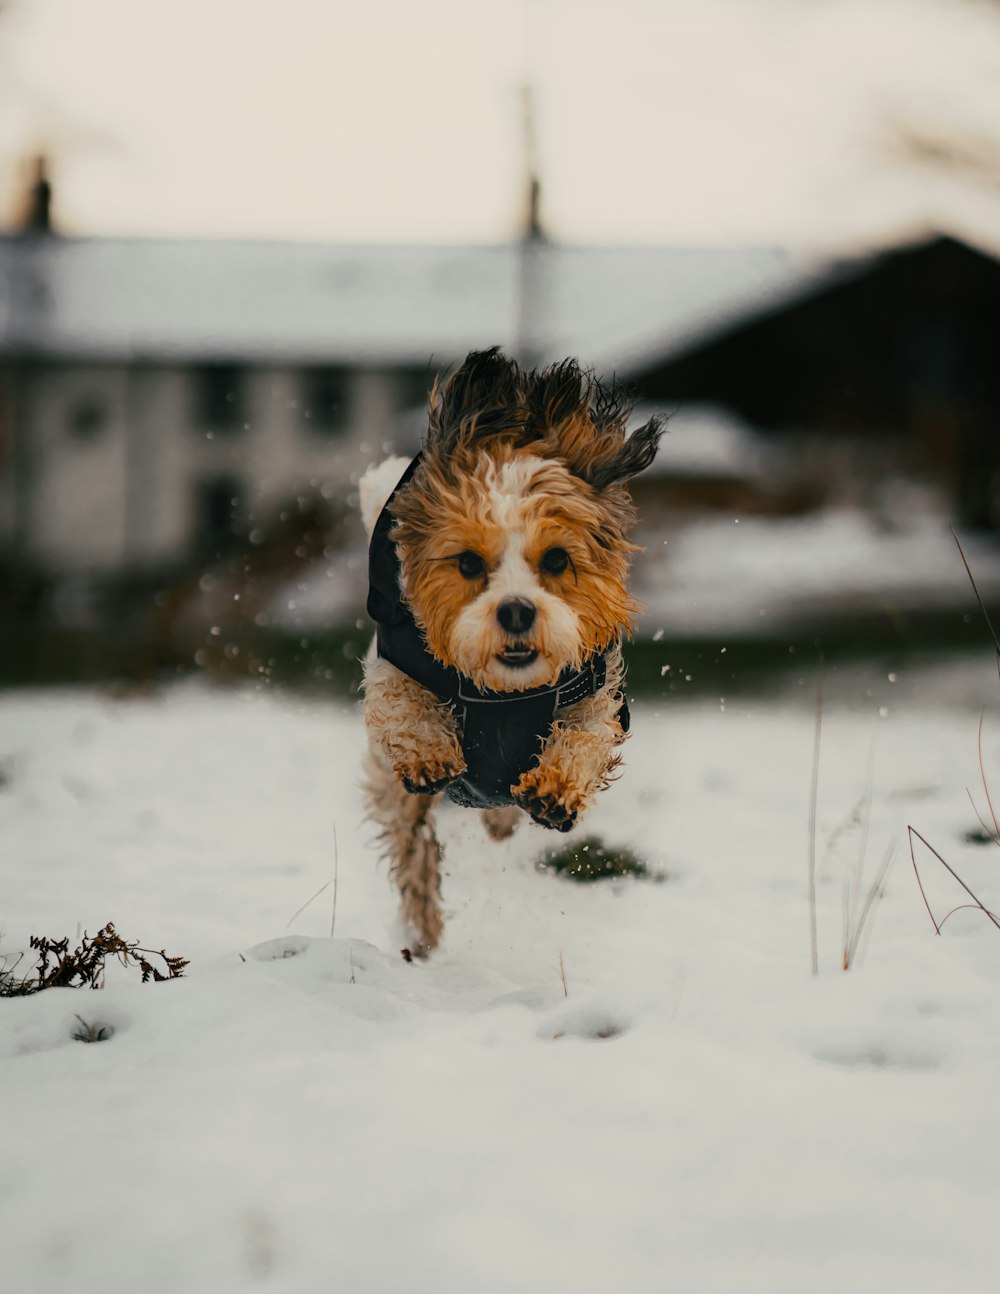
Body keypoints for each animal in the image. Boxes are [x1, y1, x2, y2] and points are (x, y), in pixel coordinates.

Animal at [359, 349, 662, 957]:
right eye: (469, 563)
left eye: (556, 560)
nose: (517, 611)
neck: (504, 695)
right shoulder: (392, 665)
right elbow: (401, 702)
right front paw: (429, 752)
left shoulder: (595, 690)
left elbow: (584, 738)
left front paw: (555, 790)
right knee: (415, 852)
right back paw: (422, 930)